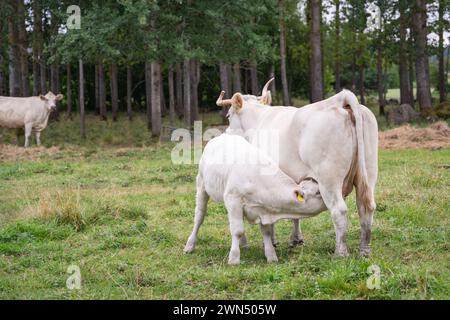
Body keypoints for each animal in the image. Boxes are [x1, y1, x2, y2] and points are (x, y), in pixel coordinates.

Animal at [184, 133, 326, 264]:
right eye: (318, 192)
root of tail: (223, 135)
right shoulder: (233, 199)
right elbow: (237, 230)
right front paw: (234, 258)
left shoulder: (262, 208)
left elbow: (266, 232)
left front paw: (271, 256)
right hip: (201, 184)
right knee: (199, 216)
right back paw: (190, 245)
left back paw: (243, 243)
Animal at [216, 83, 378, 258]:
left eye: (228, 116)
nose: (226, 134)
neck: (258, 120)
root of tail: (341, 99)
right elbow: (295, 211)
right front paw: (295, 239)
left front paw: (273, 241)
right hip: (368, 173)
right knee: (366, 207)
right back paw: (364, 250)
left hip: (329, 179)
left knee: (339, 210)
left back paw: (340, 253)